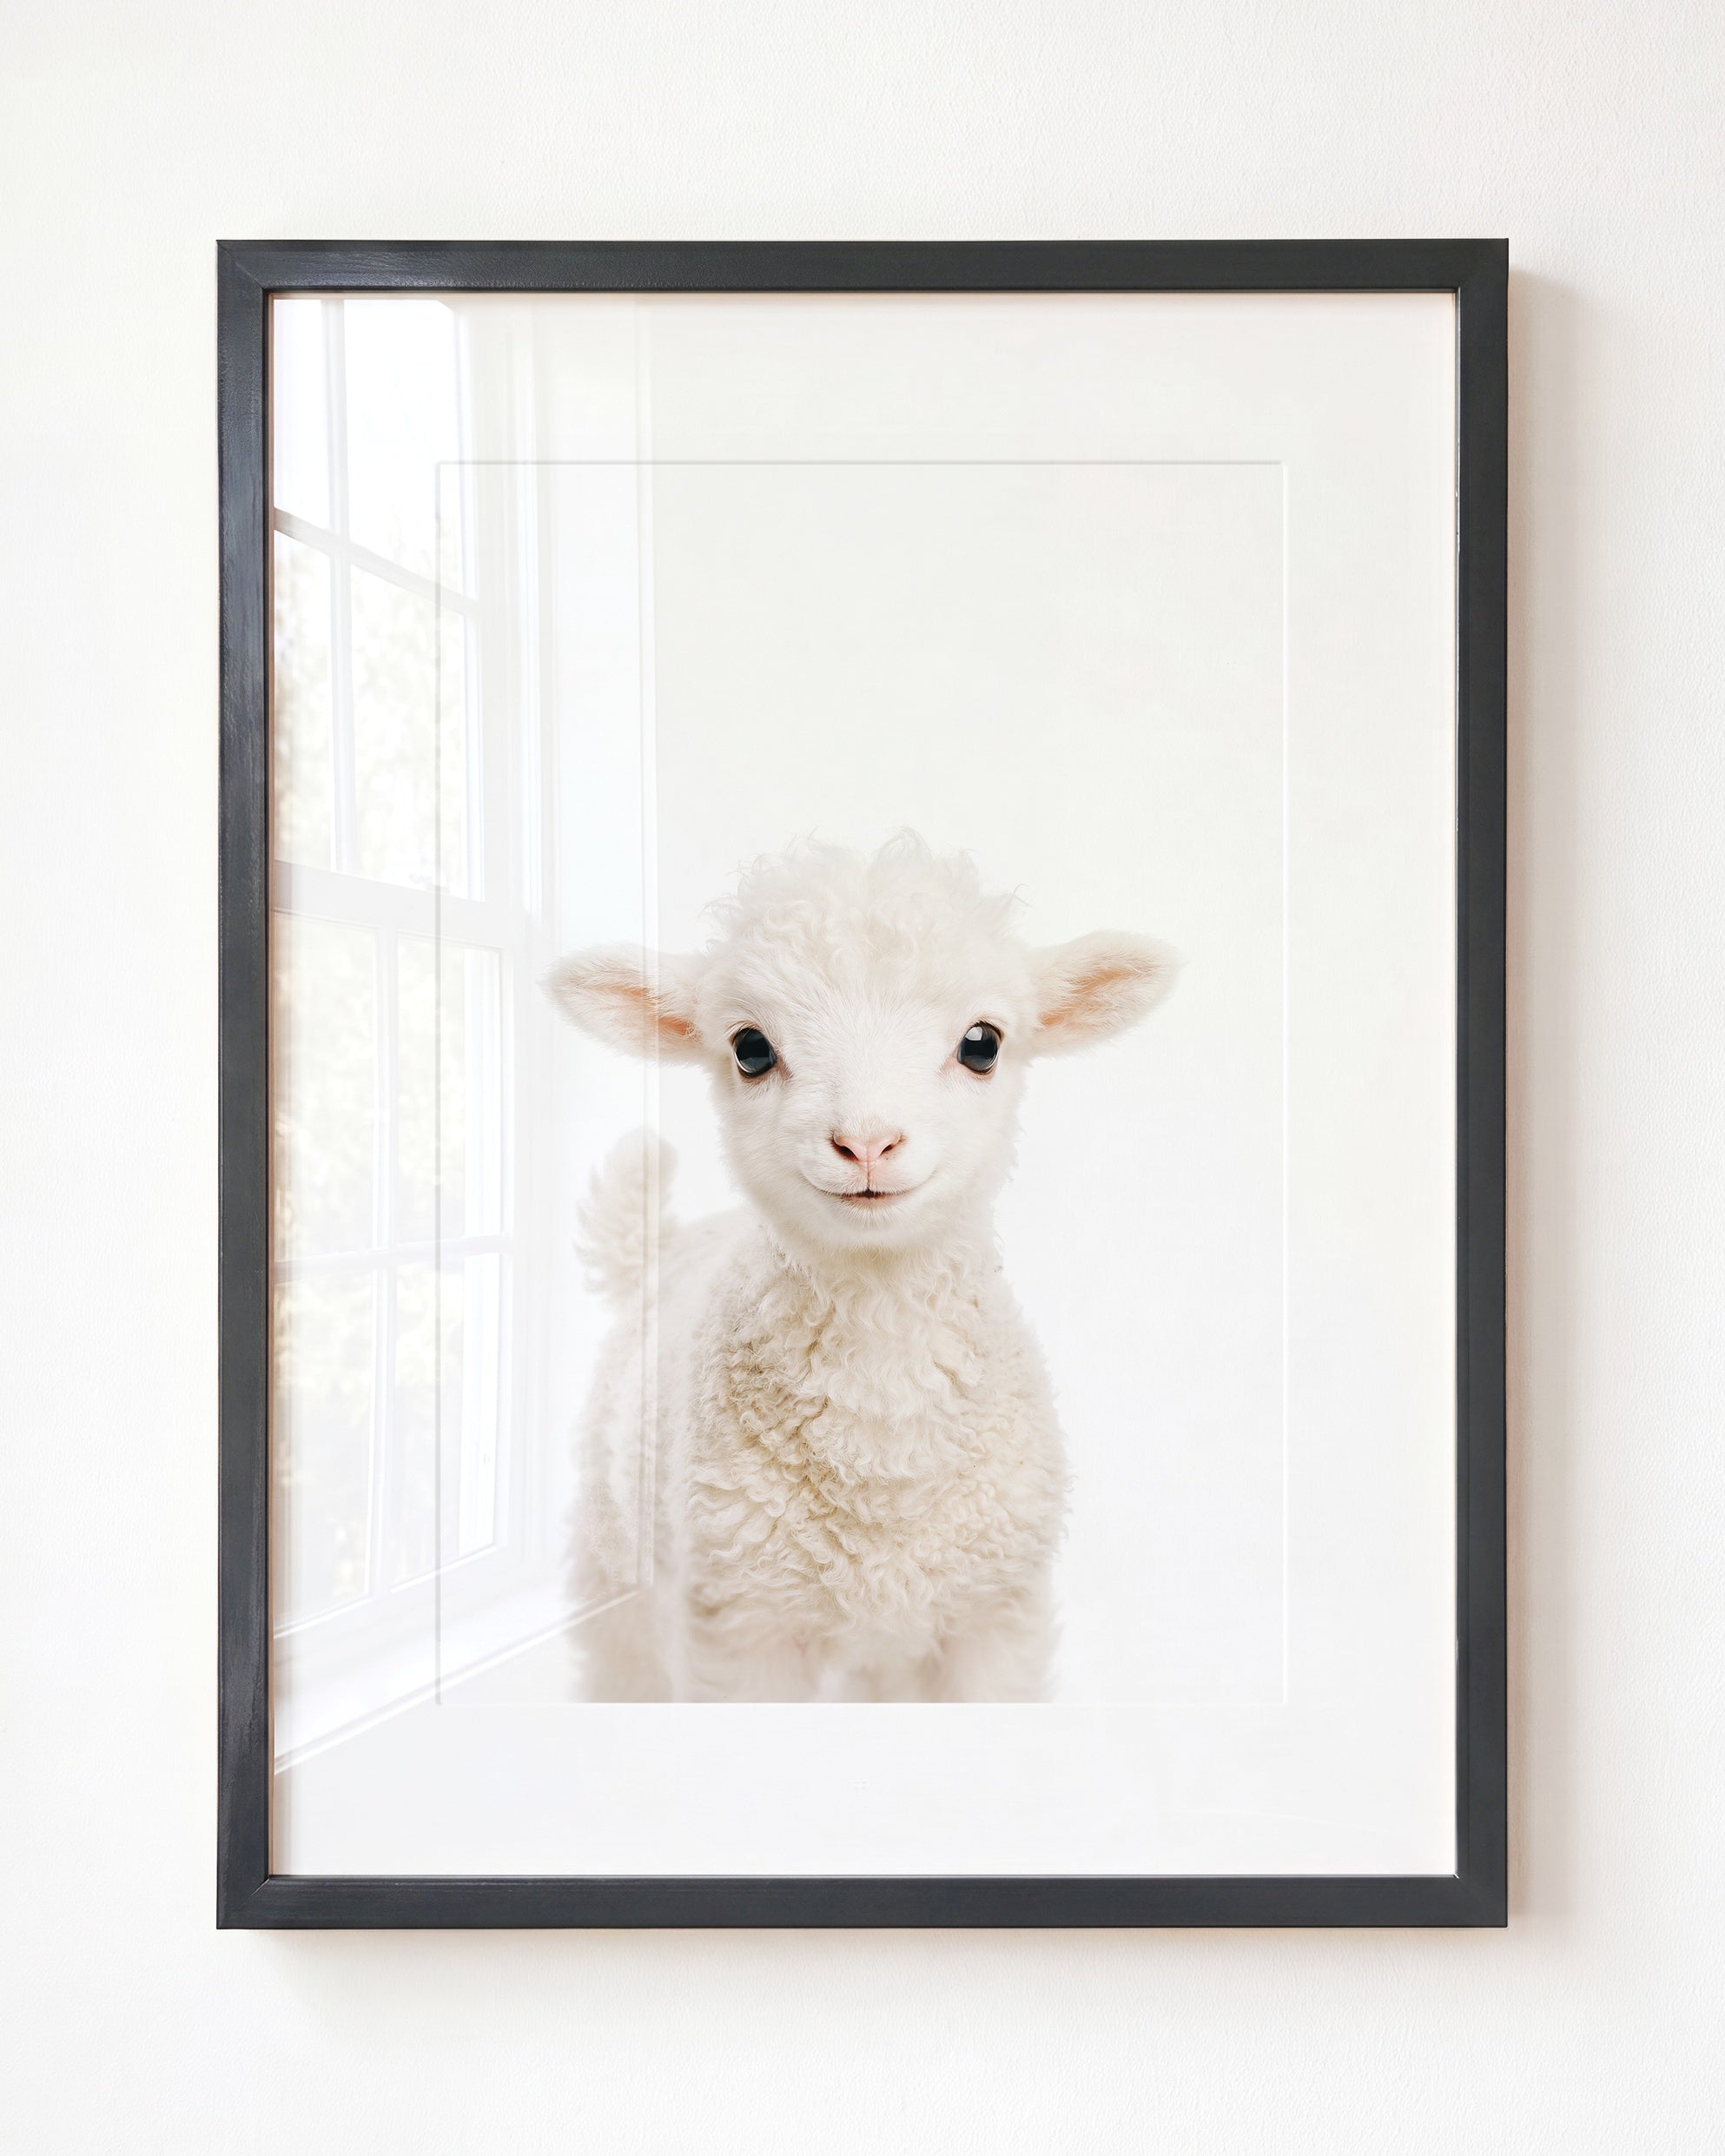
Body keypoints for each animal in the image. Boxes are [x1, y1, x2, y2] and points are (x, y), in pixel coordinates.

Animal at [544, 834, 1175, 1702]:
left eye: (983, 1043)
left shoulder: (994, 1616)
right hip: (619, 1579)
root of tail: (663, 1246)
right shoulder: (741, 1628)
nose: (867, 1142)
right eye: (750, 1049)